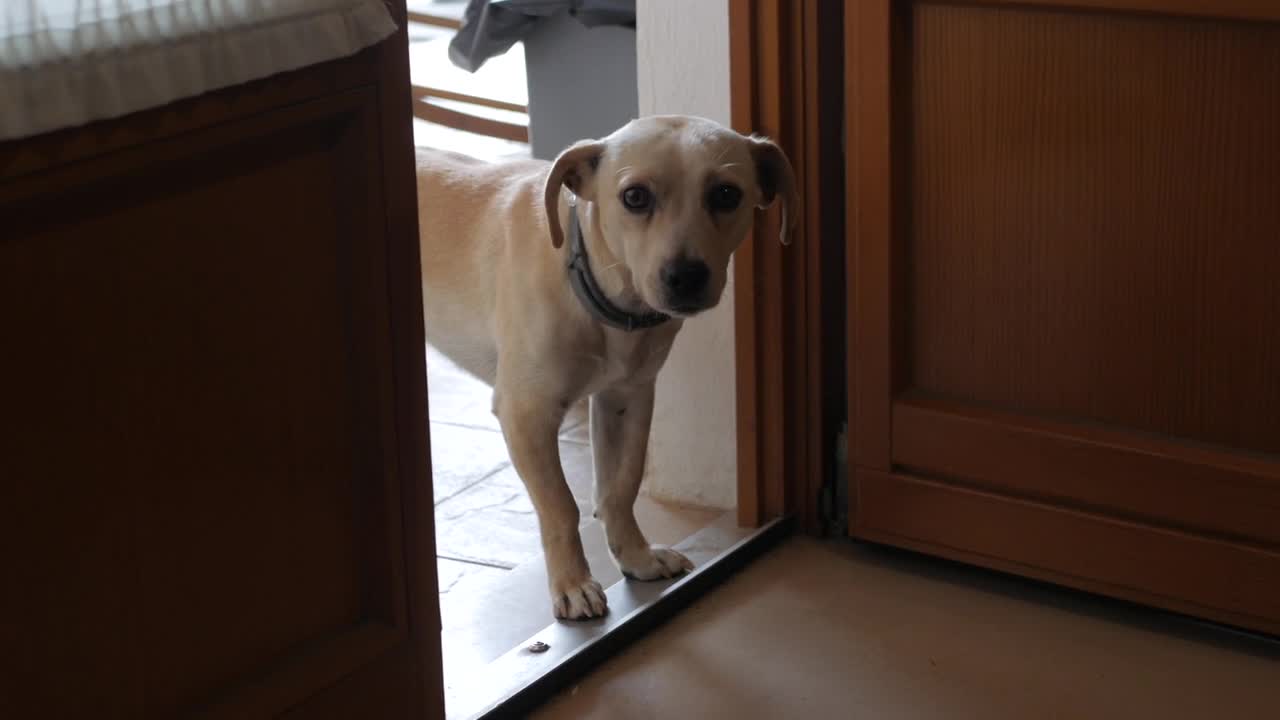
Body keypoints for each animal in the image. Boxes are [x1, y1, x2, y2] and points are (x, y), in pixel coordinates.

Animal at [414, 116, 793, 617]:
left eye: (727, 194)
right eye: (635, 197)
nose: (685, 277)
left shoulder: (627, 397)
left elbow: (621, 487)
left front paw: (636, 557)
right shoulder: (526, 415)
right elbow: (561, 506)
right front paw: (573, 584)